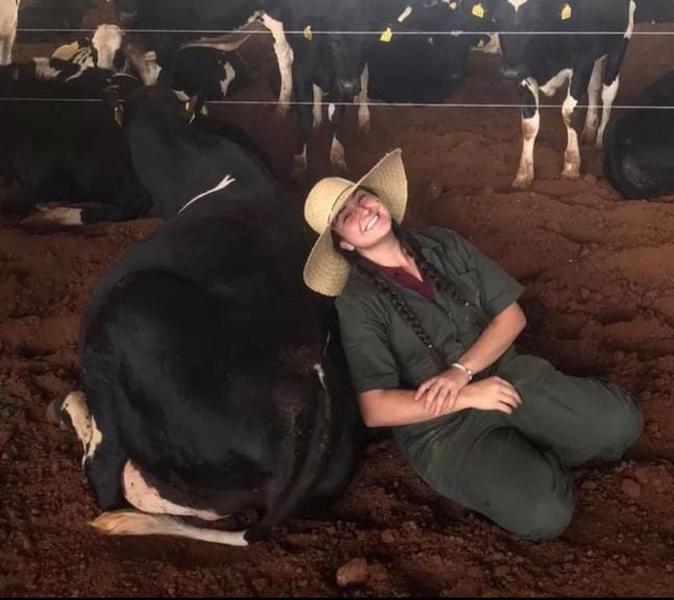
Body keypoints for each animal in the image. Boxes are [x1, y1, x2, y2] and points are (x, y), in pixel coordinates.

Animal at [468, 0, 636, 188]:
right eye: (496, 19)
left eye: (536, 21)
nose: (509, 72)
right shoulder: (525, 72)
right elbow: (529, 124)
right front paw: (524, 174)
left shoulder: (583, 62)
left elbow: (569, 113)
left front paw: (571, 166)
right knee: (594, 87)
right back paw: (589, 130)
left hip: (622, 39)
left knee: (608, 92)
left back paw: (600, 137)